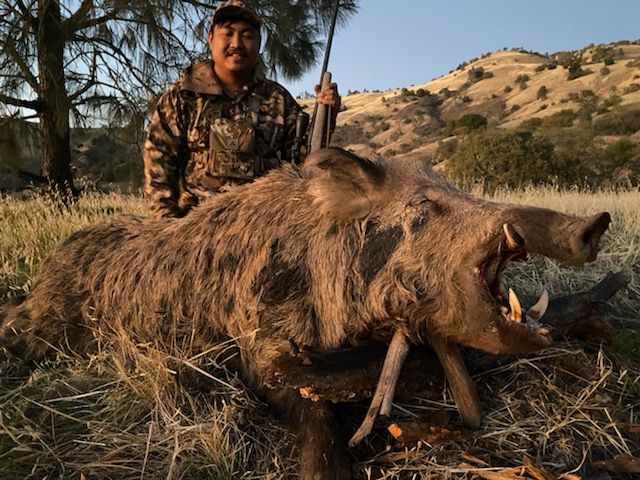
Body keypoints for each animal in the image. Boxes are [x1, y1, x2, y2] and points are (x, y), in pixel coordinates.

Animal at [0, 147, 610, 479]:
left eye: (455, 189)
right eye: (424, 206)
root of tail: (49, 267)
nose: (595, 223)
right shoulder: (260, 337)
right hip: (44, 322)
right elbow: (306, 402)